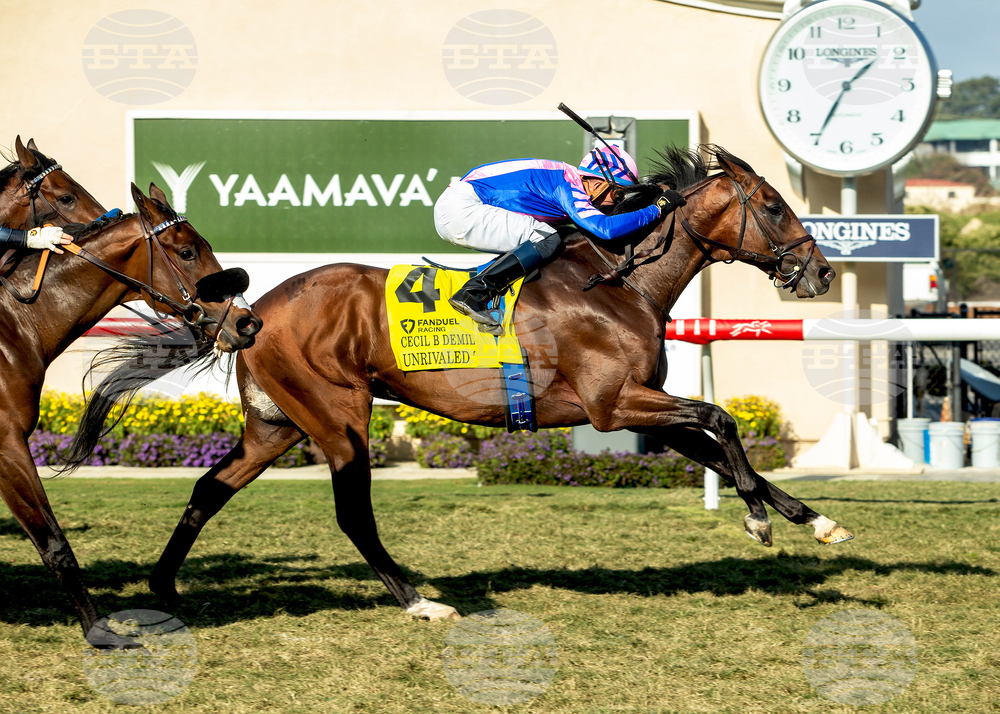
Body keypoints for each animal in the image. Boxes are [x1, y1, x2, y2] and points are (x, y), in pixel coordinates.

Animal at [0, 142, 263, 646]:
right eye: (186, 250)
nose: (247, 322)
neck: (14, 325)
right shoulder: (7, 446)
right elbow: (54, 541)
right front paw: (98, 630)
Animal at [75, 145, 851, 622]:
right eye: (774, 205)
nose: (820, 272)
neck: (616, 281)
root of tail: (251, 309)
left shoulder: (636, 408)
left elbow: (721, 444)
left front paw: (814, 520)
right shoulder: (613, 404)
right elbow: (721, 420)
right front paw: (759, 519)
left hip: (277, 425)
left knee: (209, 488)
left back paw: (163, 585)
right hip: (339, 419)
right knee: (353, 514)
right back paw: (417, 600)